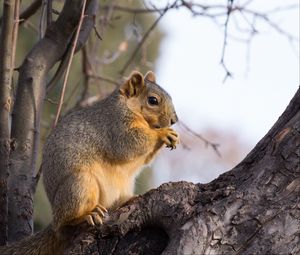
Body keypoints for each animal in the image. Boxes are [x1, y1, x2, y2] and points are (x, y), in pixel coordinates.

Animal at [0, 70, 178, 255]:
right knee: (64, 224)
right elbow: (129, 143)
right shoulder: (115, 125)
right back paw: (85, 216)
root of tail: (54, 218)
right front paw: (162, 133)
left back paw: (127, 200)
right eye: (153, 100)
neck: (129, 107)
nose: (174, 120)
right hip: (80, 184)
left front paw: (171, 137)